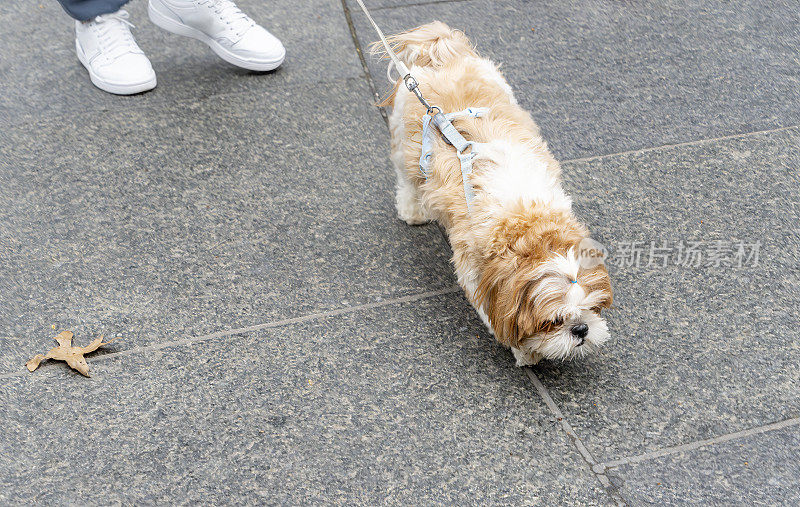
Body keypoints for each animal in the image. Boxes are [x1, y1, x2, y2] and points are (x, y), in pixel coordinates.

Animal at [378, 22, 616, 366]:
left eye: (592, 309)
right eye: (553, 321)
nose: (581, 329)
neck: (527, 217)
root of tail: (441, 51)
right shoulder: (477, 269)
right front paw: (527, 351)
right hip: (403, 141)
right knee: (406, 179)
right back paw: (413, 210)